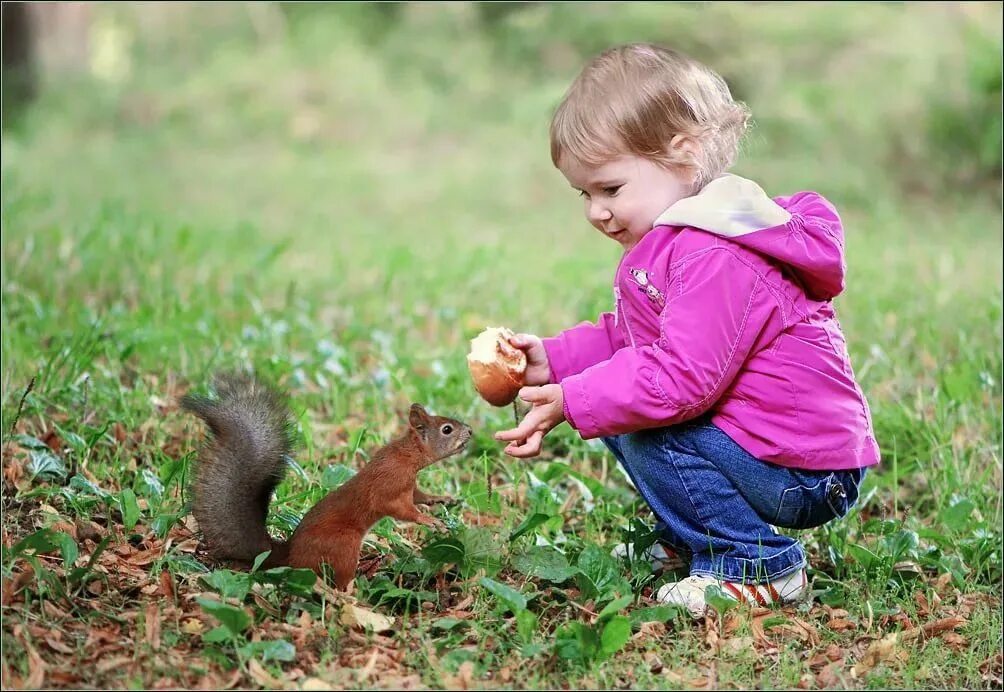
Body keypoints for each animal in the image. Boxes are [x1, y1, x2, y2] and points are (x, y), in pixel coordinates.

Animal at [179, 371, 469, 586]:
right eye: (447, 429)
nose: (470, 431)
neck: (408, 455)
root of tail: (290, 556)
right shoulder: (390, 485)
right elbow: (401, 509)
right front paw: (430, 521)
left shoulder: (409, 486)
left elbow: (419, 496)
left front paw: (441, 499)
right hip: (343, 547)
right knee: (335, 580)